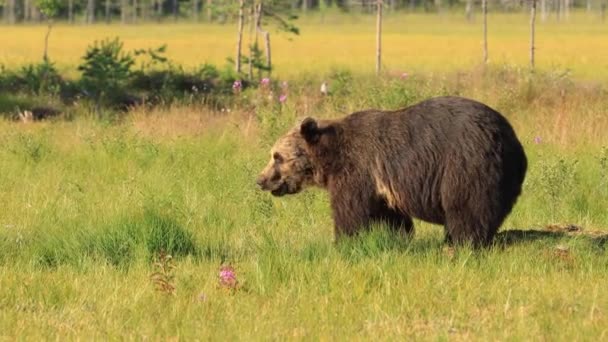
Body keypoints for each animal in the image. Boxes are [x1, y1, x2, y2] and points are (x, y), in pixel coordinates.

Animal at [255, 95, 528, 246]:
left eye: (277, 157)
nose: (260, 180)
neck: (330, 158)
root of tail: (511, 139)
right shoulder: (379, 184)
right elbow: (389, 215)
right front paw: (396, 236)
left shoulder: (357, 170)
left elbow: (350, 213)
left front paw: (342, 241)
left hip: (466, 163)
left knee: (466, 207)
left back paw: (461, 241)